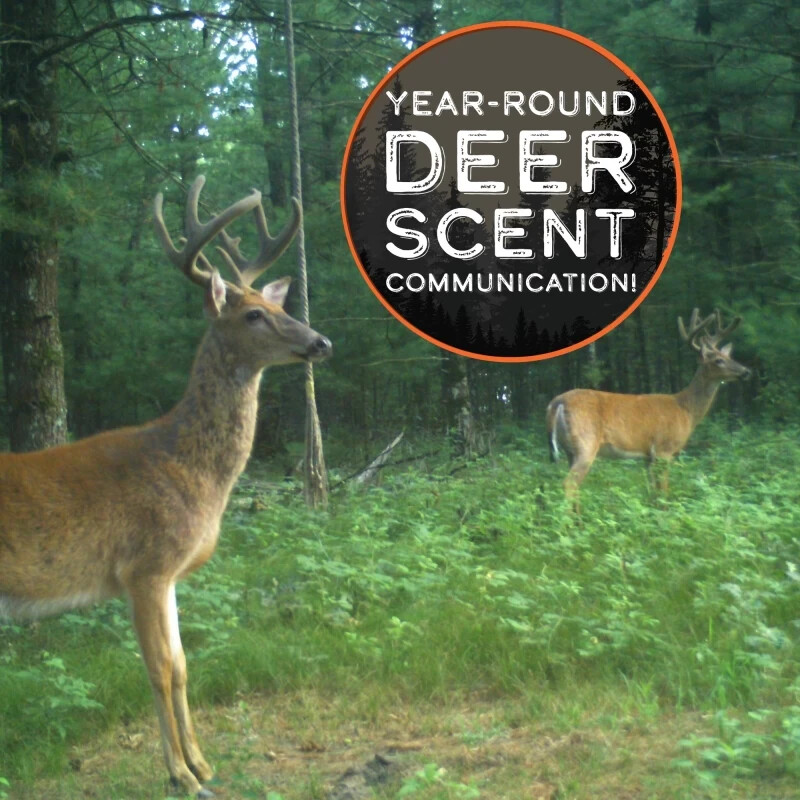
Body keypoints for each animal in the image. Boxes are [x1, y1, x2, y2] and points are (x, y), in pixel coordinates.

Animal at [0, 176, 331, 798]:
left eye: (280, 304)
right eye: (253, 315)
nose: (321, 341)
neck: (188, 468)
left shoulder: (170, 574)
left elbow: (180, 666)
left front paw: (202, 764)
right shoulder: (144, 566)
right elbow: (156, 668)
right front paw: (179, 774)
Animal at [546, 309, 750, 504]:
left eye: (728, 356)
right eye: (718, 360)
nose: (746, 371)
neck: (686, 410)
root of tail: (557, 402)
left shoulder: (648, 457)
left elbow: (652, 492)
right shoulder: (664, 450)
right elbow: (663, 492)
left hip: (569, 449)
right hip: (586, 442)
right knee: (569, 484)